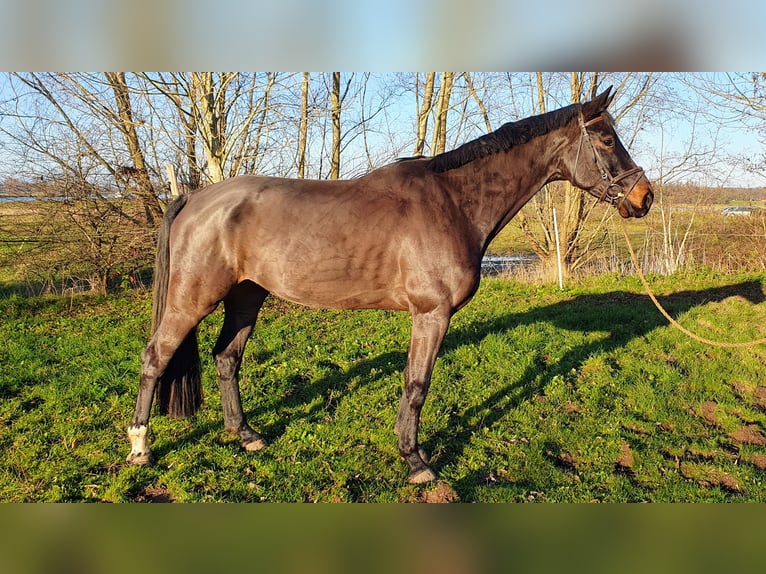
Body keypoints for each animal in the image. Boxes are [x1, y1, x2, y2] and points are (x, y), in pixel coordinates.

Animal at [126, 87, 653, 484]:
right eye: (606, 138)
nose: (644, 197)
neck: (453, 202)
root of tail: (194, 198)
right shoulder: (431, 314)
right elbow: (416, 385)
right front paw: (416, 461)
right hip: (193, 298)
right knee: (155, 357)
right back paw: (140, 448)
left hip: (246, 295)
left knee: (226, 357)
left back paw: (246, 434)